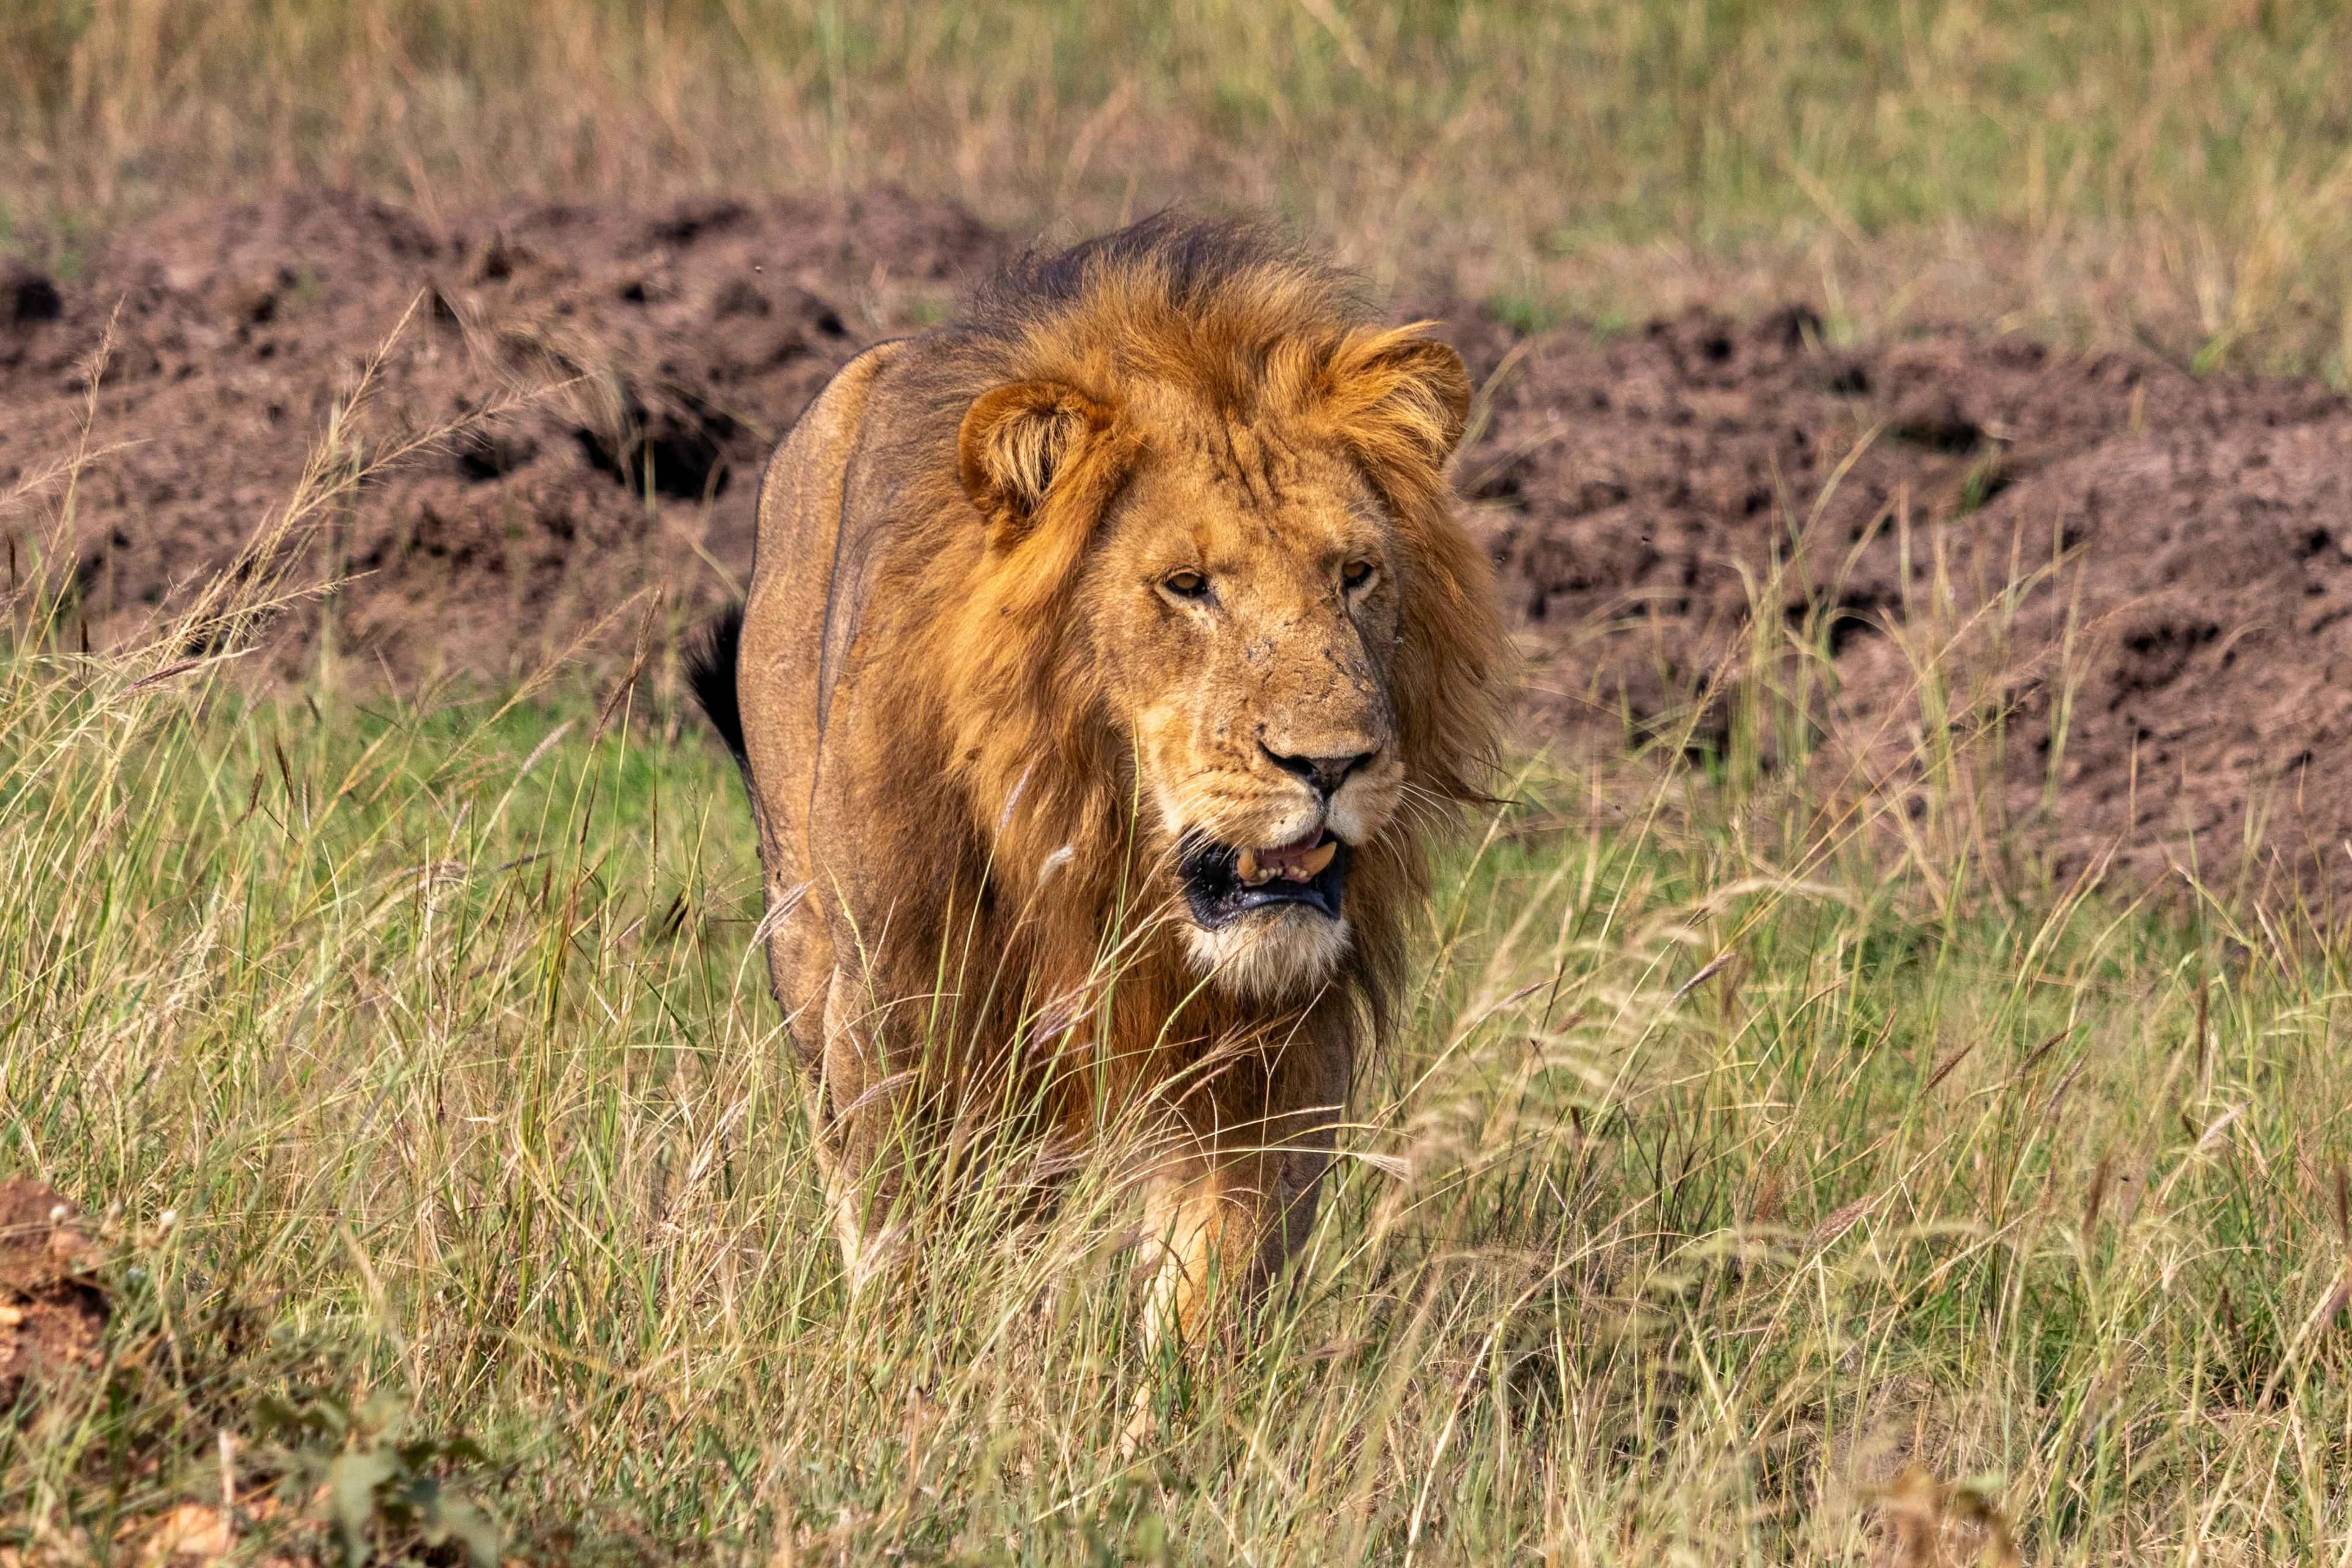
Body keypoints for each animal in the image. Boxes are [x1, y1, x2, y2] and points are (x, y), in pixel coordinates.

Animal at [688, 216, 1507, 1346]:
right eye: (1186, 587)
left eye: (1355, 574)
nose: (1332, 763)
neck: (1097, 852)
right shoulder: (898, 1001)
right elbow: (906, 1238)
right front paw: (912, 1369)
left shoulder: (1271, 1050)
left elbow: (1216, 1277)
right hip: (809, 941)